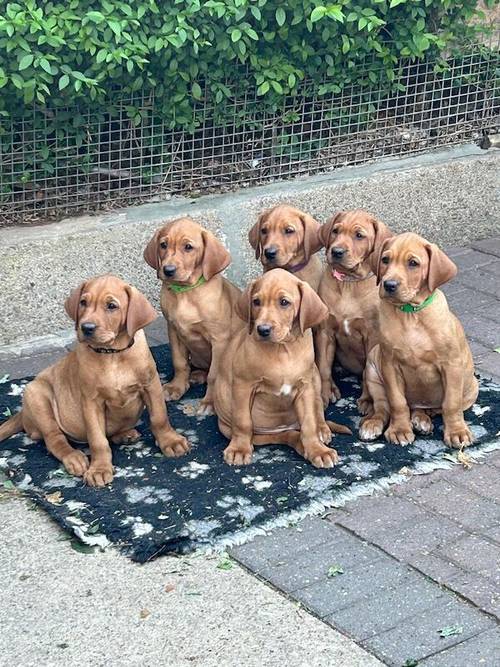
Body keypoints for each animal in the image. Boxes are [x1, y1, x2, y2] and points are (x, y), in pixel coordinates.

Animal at [0, 274, 189, 488]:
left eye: (111, 306)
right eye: (83, 303)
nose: (86, 327)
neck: (113, 354)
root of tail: (23, 414)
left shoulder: (151, 385)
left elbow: (159, 417)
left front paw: (170, 441)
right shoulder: (91, 401)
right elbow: (97, 439)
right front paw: (99, 469)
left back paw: (125, 435)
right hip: (36, 396)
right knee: (55, 440)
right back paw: (75, 458)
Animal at [144, 218, 241, 412]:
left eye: (188, 247)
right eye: (163, 245)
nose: (168, 270)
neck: (185, 293)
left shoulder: (219, 340)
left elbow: (214, 374)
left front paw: (210, 402)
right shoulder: (174, 331)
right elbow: (179, 363)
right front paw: (176, 387)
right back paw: (195, 375)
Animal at [213, 268, 350, 468]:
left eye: (284, 302)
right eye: (256, 302)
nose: (262, 329)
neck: (282, 350)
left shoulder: (305, 388)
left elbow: (309, 423)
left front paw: (317, 450)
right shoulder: (243, 386)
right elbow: (243, 420)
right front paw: (239, 449)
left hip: (315, 377)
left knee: (316, 412)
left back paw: (321, 431)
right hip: (238, 429)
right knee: (287, 435)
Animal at [314, 211, 392, 404]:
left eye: (359, 235)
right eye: (335, 231)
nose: (336, 251)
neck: (349, 282)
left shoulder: (372, 335)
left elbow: (366, 372)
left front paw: (367, 400)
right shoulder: (325, 332)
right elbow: (323, 367)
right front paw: (324, 394)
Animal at [358, 234, 478, 448]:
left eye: (413, 263)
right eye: (385, 260)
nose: (388, 285)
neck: (410, 314)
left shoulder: (451, 365)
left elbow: (451, 403)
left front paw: (457, 432)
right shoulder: (389, 364)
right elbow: (397, 402)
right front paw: (399, 430)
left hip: (471, 388)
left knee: (431, 408)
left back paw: (421, 419)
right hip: (373, 367)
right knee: (383, 408)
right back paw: (373, 424)